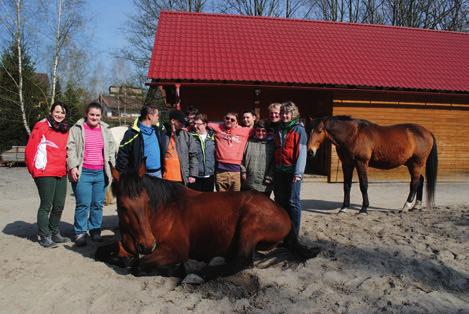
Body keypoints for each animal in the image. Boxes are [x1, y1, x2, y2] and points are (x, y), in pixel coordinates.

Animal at [95, 164, 318, 282]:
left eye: (147, 202)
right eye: (123, 206)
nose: (148, 245)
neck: (163, 210)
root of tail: (281, 210)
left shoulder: (176, 250)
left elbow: (139, 266)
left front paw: (179, 269)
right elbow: (102, 253)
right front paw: (122, 258)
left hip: (250, 223)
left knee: (242, 261)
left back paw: (197, 272)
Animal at [308, 116, 436, 215]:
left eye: (319, 131)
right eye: (309, 130)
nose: (310, 151)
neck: (353, 135)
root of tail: (428, 132)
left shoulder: (361, 163)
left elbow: (363, 185)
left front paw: (364, 209)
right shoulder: (347, 164)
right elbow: (346, 186)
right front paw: (343, 208)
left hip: (416, 164)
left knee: (414, 183)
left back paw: (406, 207)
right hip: (412, 164)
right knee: (420, 180)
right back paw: (416, 206)